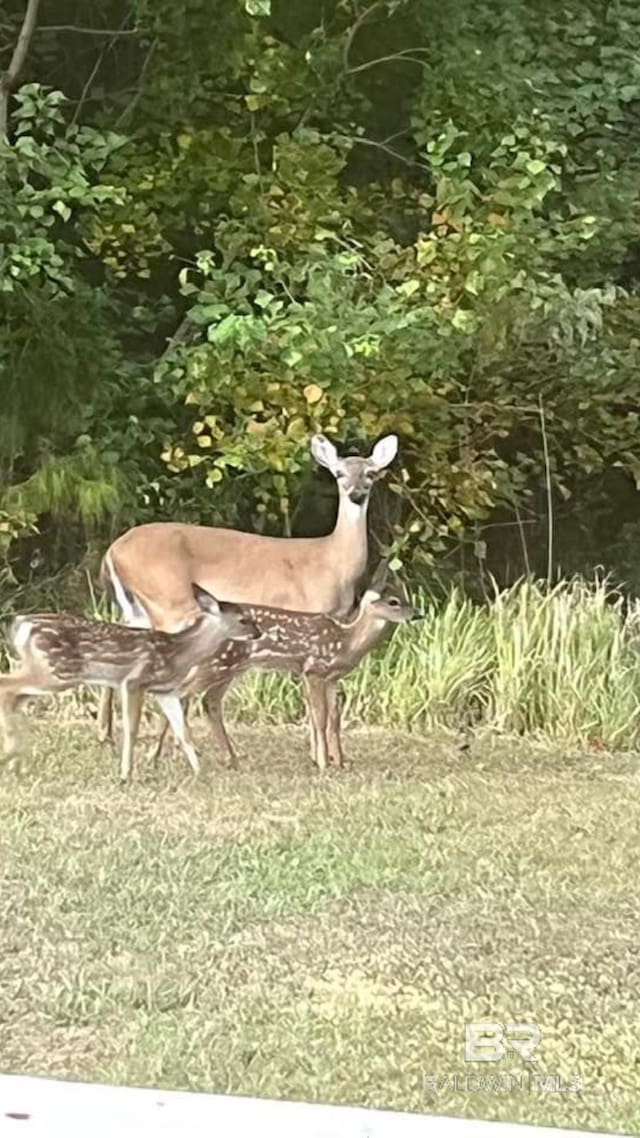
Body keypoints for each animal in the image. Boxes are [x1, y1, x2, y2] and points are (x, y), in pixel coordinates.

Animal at [0, 587, 259, 782]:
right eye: (243, 619)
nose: (258, 633)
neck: (179, 652)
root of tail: (20, 623)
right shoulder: (135, 680)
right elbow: (132, 729)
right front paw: (126, 774)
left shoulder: (166, 691)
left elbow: (183, 731)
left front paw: (200, 773)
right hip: (55, 670)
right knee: (7, 687)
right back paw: (12, 757)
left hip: (47, 670)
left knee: (13, 696)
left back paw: (15, 762)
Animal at [95, 432, 396, 746]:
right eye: (339, 474)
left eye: (371, 473)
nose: (356, 495)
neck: (333, 562)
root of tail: (112, 551)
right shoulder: (309, 617)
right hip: (169, 601)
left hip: (140, 609)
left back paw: (106, 732)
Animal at [150, 562, 423, 773]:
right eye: (394, 601)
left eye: (405, 596)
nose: (417, 615)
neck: (345, 643)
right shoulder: (313, 669)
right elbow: (320, 717)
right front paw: (324, 764)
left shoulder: (331, 677)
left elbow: (334, 718)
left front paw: (340, 762)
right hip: (218, 663)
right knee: (180, 695)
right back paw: (165, 755)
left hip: (231, 667)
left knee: (209, 702)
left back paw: (231, 759)